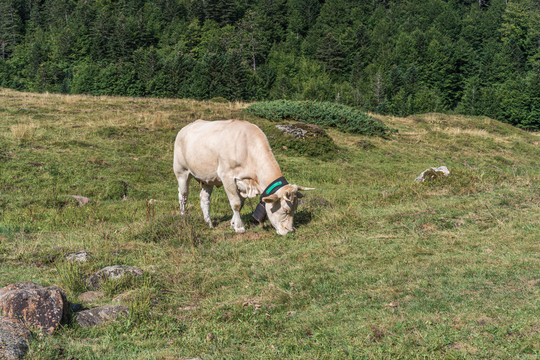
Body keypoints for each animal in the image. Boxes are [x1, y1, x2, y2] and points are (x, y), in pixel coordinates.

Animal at [175, 119, 314, 235]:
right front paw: (239, 227)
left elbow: (241, 203)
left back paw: (208, 222)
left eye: (295, 208)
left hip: (208, 178)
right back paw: (183, 218)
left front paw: (233, 223)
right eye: (285, 210)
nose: (289, 231)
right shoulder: (227, 176)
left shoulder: (243, 183)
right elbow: (236, 203)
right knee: (183, 196)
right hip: (181, 171)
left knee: (204, 198)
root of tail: (186, 127)